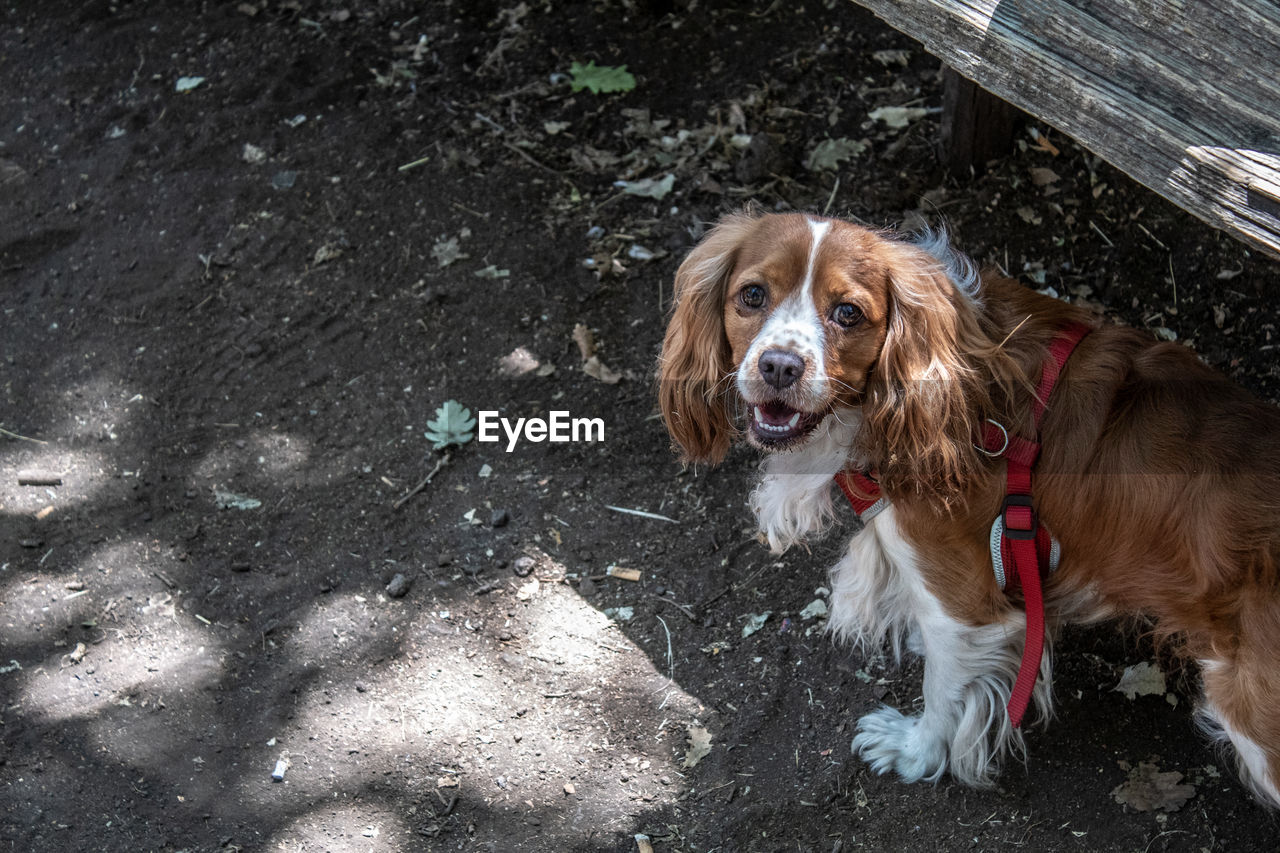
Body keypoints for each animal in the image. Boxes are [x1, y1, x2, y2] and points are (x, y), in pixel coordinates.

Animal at [660, 208, 1280, 799]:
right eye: (752, 296)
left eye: (848, 314)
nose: (780, 366)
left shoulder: (962, 604)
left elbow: (945, 688)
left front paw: (914, 752)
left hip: (1252, 706)